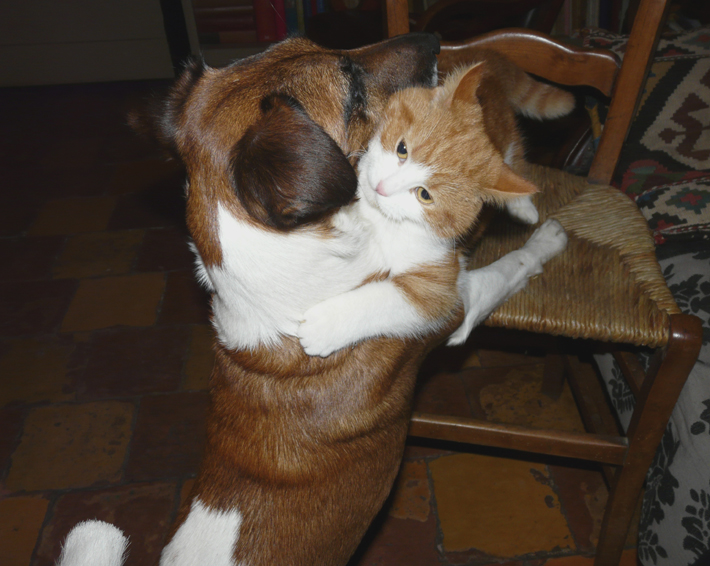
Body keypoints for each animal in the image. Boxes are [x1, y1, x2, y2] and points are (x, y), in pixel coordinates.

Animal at [297, 58, 573, 357]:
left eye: (424, 195)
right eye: (402, 149)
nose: (381, 187)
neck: (381, 218)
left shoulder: (440, 285)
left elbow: (394, 299)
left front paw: (325, 325)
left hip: (507, 146)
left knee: (515, 155)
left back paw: (523, 205)